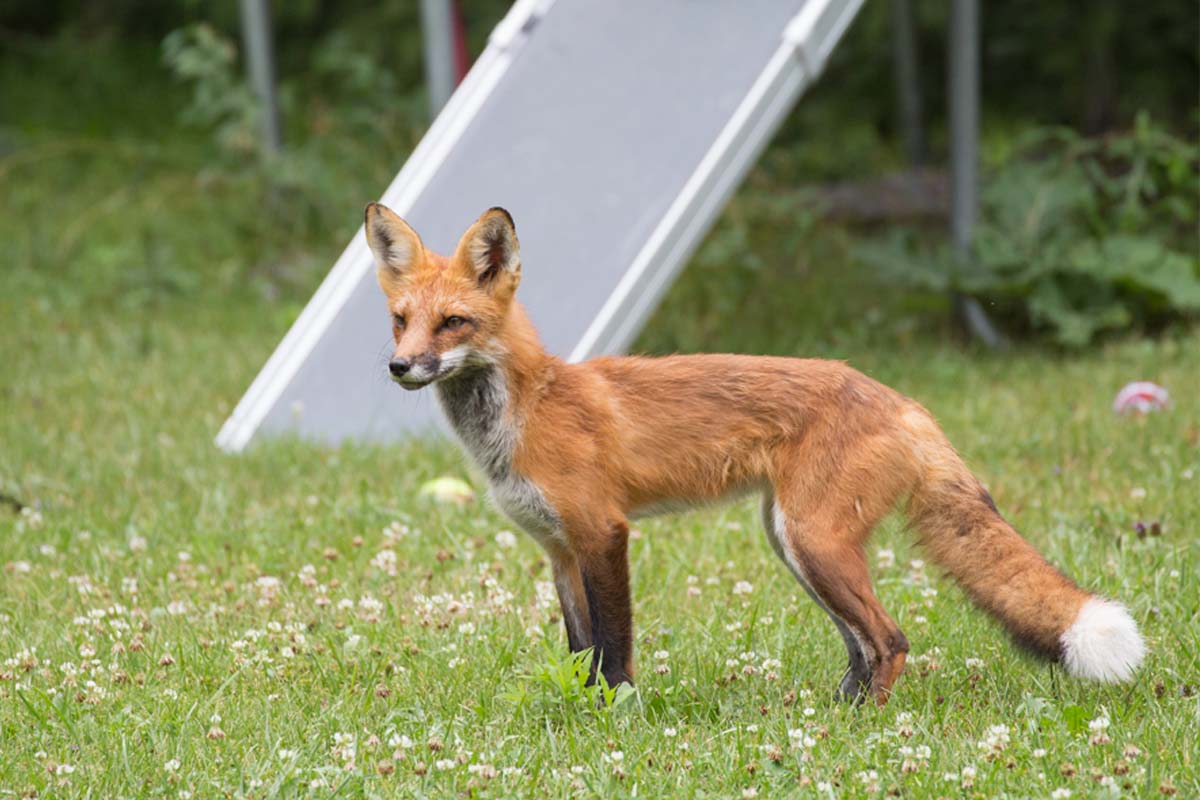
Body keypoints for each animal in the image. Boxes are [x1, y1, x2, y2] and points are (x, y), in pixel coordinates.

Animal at [364, 202, 1146, 704]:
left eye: (453, 322)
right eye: (400, 321)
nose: (400, 367)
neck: (525, 413)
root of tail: (902, 400)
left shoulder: (602, 533)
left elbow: (615, 649)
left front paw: (614, 717)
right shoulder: (558, 549)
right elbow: (580, 649)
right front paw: (578, 712)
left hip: (813, 542)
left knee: (891, 639)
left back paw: (863, 726)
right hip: (791, 543)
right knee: (863, 645)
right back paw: (835, 713)